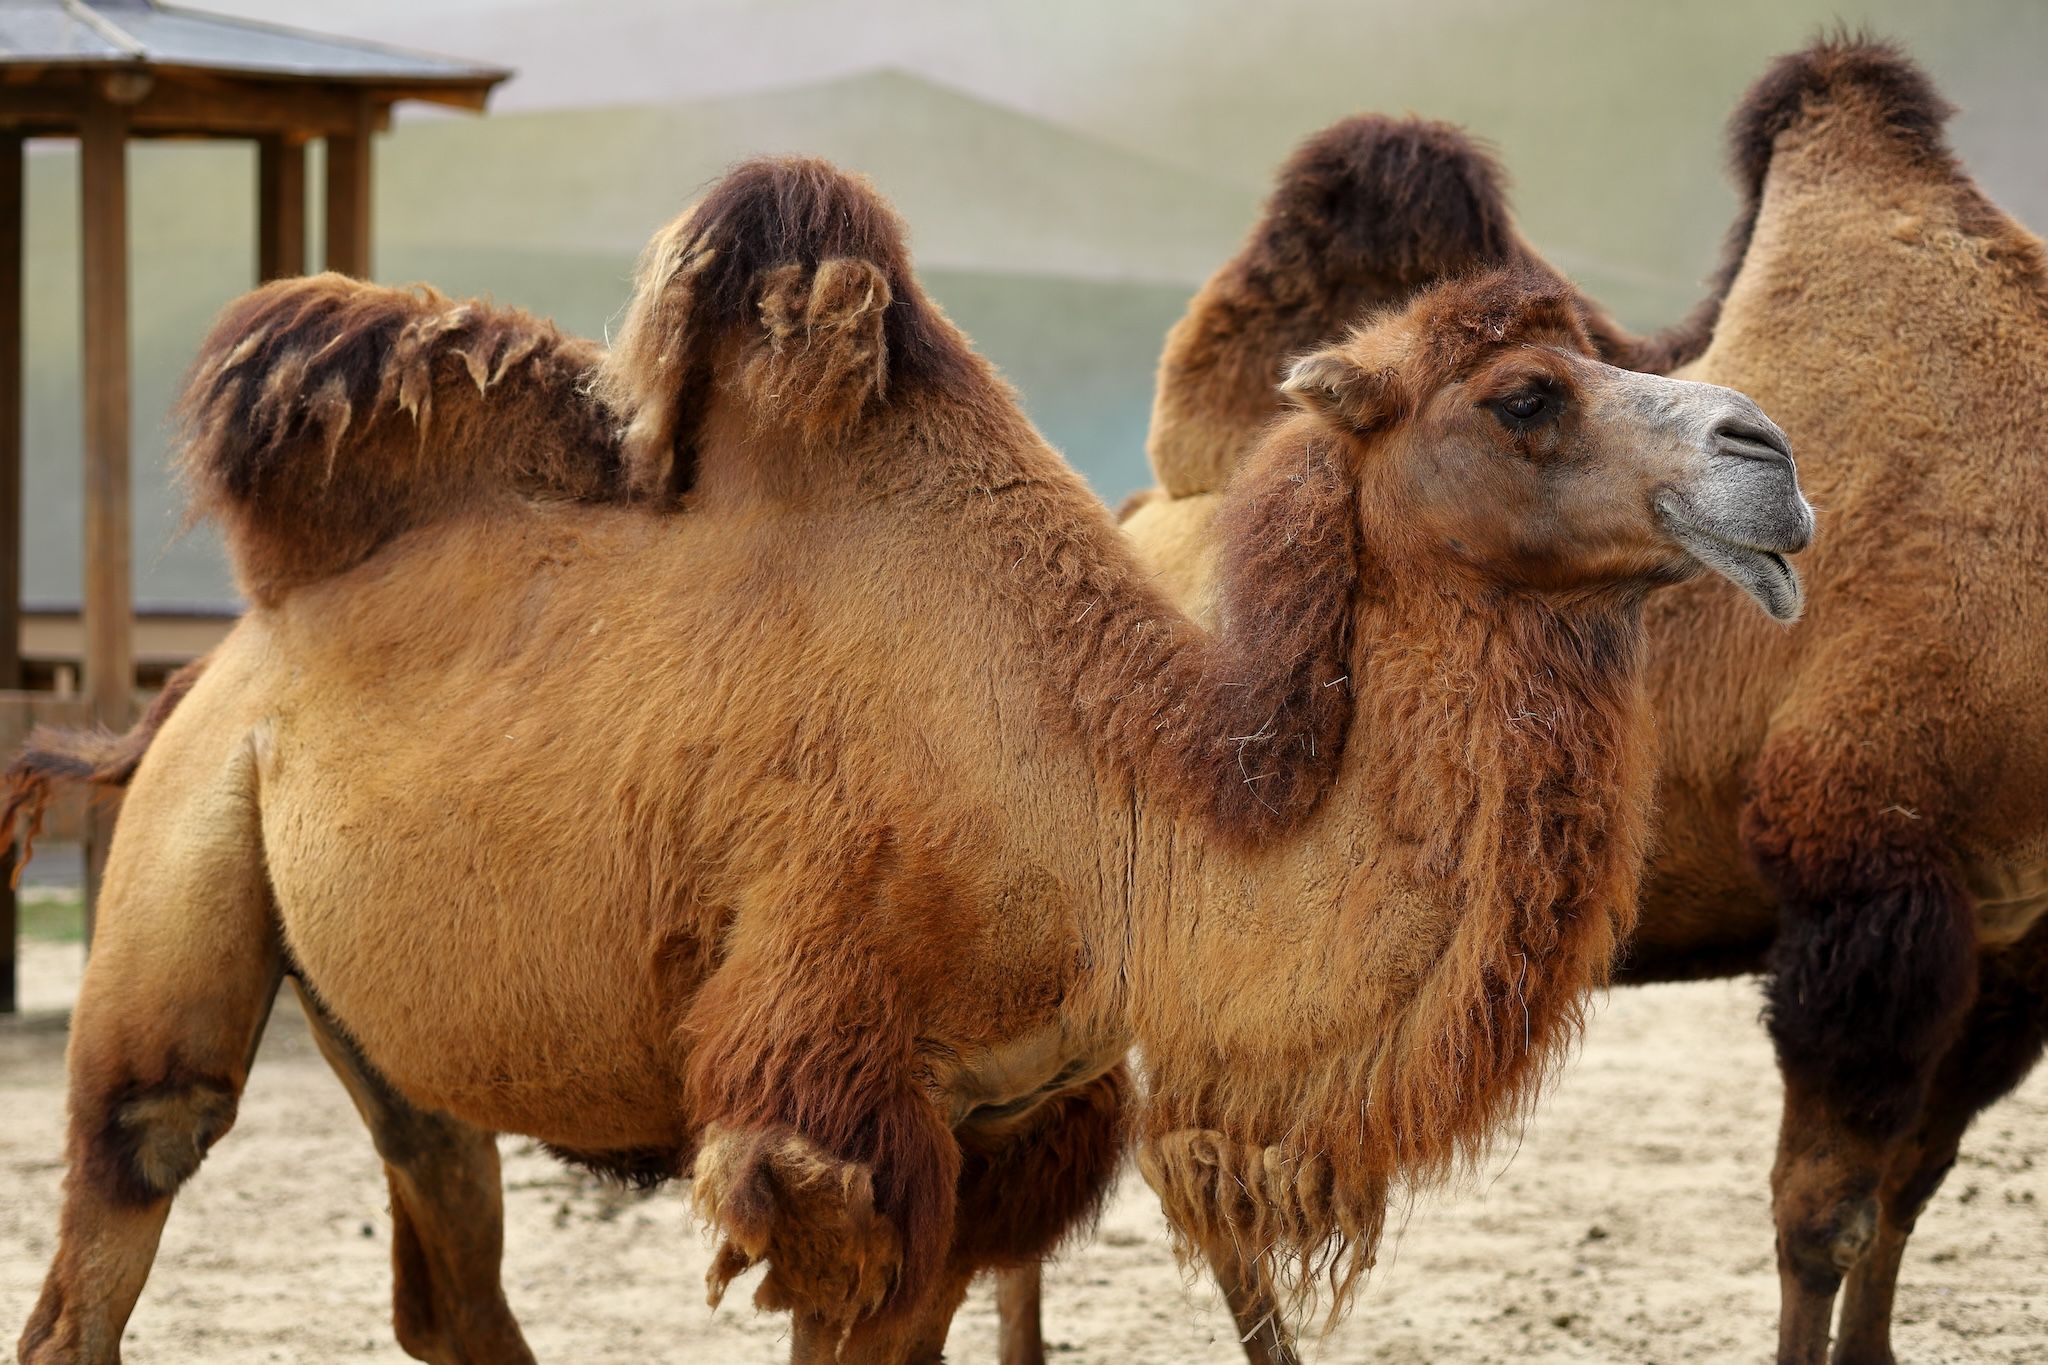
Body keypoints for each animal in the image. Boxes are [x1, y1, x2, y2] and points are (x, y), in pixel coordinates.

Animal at [8, 158, 1812, 1364]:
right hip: (187, 863)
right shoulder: (823, 1119)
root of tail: (210, 667)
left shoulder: (995, 1130)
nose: (1771, 458)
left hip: (389, 1012)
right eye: (1526, 397)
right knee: (131, 1167)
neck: (1099, 816)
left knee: (446, 1258)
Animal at [1122, 37, 2048, 1365]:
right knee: (1187, 1159)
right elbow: (1823, 1217)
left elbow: (1910, 1188)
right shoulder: (1870, 871)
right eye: (1523, 401)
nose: (1770, 470)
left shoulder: (2016, 930)